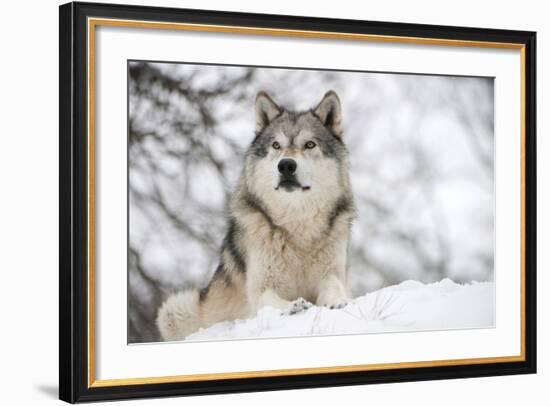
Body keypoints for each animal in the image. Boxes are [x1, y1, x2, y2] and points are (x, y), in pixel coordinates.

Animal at [158, 91, 358, 340]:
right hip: (175, 308)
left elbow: (334, 287)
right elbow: (270, 300)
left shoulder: (332, 273)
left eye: (310, 144)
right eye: (276, 145)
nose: (286, 165)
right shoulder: (260, 288)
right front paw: (293, 306)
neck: (296, 227)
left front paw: (337, 301)